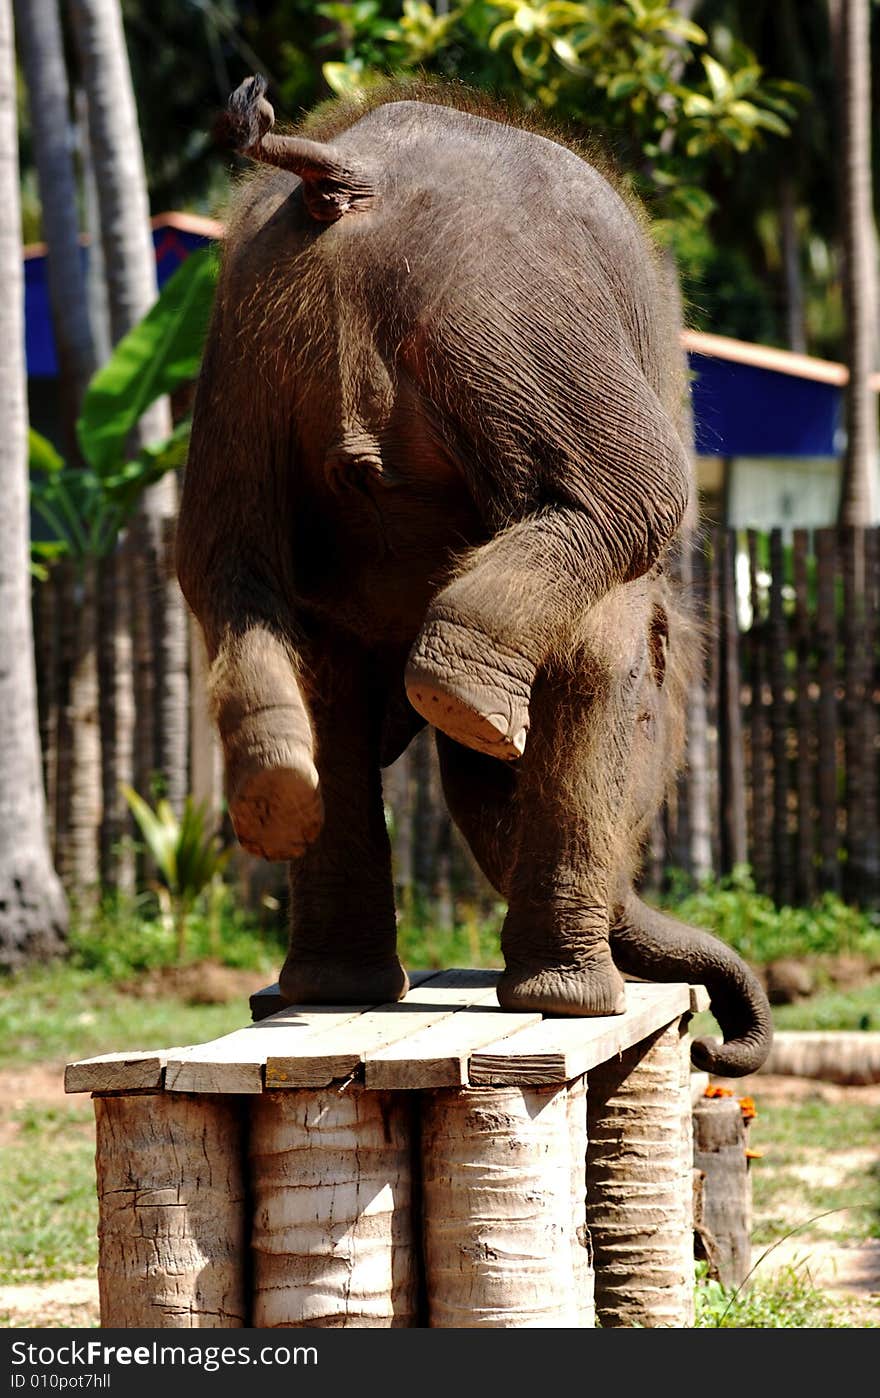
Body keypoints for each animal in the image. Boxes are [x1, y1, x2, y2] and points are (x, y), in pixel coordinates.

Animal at [176, 73, 766, 1079]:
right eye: (659, 735)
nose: (711, 1052)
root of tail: (348, 174)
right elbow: (593, 665)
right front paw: (578, 1006)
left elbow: (338, 682)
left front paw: (332, 998)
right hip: (506, 326)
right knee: (639, 484)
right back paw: (464, 696)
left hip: (243, 368)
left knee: (230, 574)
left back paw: (289, 789)